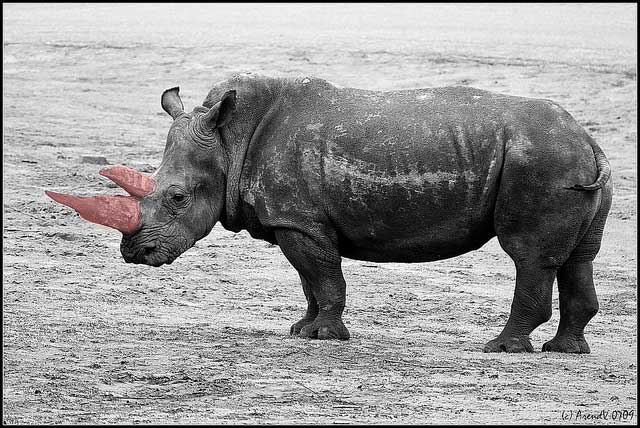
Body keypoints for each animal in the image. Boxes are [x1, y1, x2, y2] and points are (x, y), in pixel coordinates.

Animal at [46, 73, 612, 353]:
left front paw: (325, 339)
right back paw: (566, 351)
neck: (230, 141)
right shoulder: (294, 221)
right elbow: (309, 280)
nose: (134, 253)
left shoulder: (299, 220)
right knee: (579, 257)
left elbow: (323, 275)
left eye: (178, 199)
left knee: (528, 255)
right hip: (568, 161)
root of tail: (588, 140)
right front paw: (302, 330)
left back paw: (501, 348)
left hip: (541, 160)